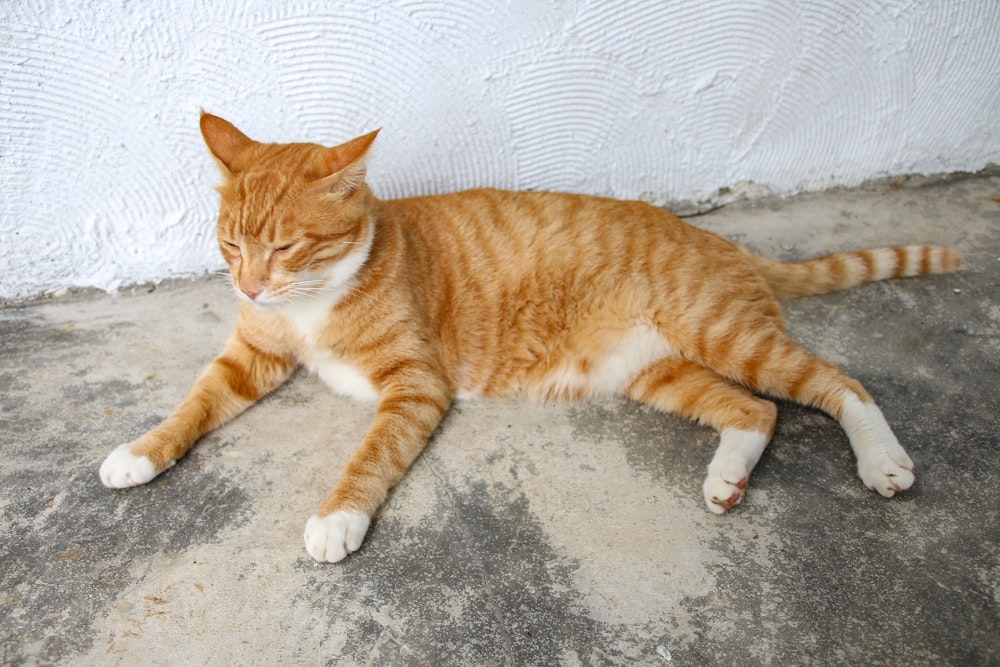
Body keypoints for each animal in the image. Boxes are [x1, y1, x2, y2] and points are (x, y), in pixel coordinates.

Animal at [99, 115, 960, 564]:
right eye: (230, 246)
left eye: (283, 247)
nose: (248, 288)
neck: (312, 301)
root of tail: (715, 236)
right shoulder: (251, 357)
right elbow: (192, 405)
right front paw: (140, 451)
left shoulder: (415, 385)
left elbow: (370, 454)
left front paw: (337, 517)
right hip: (661, 373)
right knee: (757, 412)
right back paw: (727, 478)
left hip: (725, 333)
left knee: (840, 385)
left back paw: (883, 461)